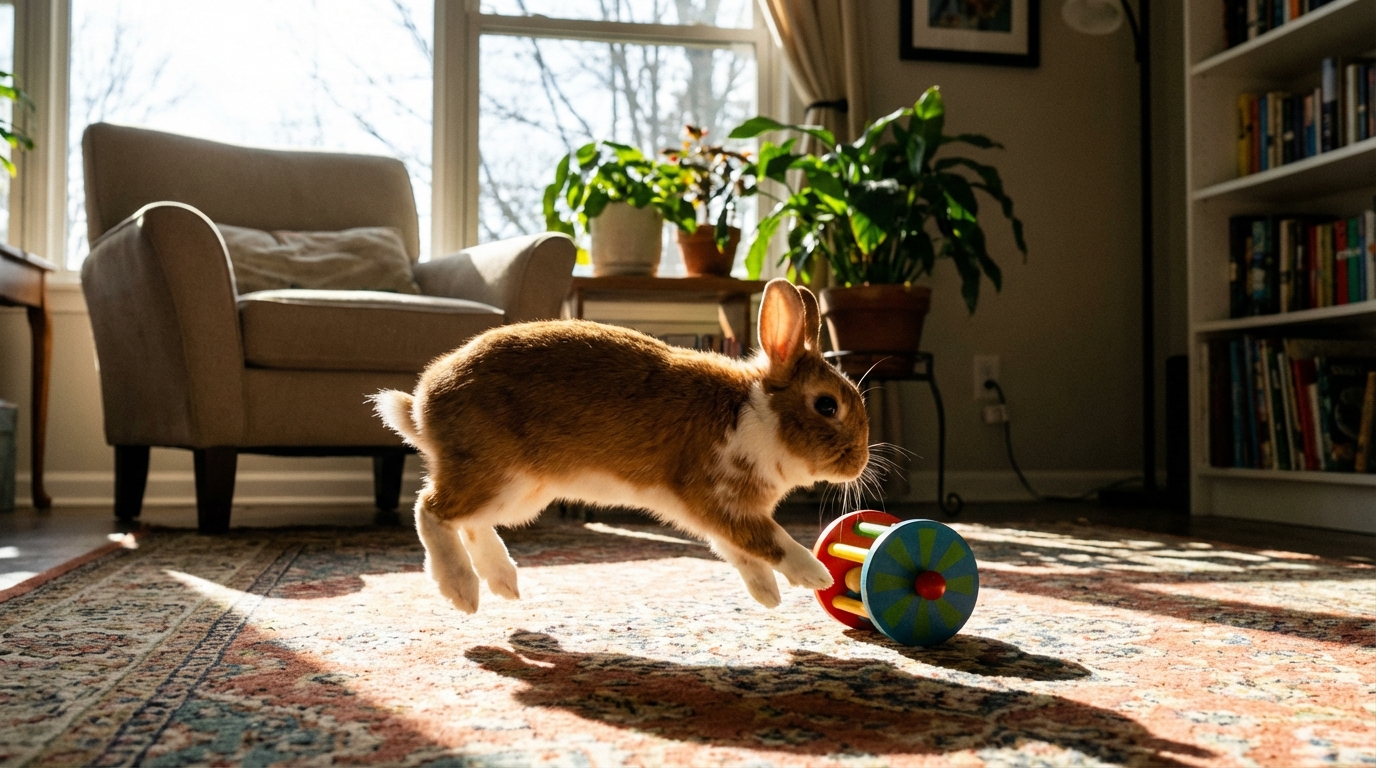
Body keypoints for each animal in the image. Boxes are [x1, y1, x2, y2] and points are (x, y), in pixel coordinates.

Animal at [372, 278, 871, 614]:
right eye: (827, 405)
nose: (859, 463)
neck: (759, 413)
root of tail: (424, 406)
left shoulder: (715, 516)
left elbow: (740, 550)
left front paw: (766, 595)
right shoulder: (719, 498)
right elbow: (772, 540)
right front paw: (813, 573)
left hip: (520, 495)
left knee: (470, 522)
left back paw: (502, 581)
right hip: (496, 474)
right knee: (431, 509)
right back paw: (461, 589)